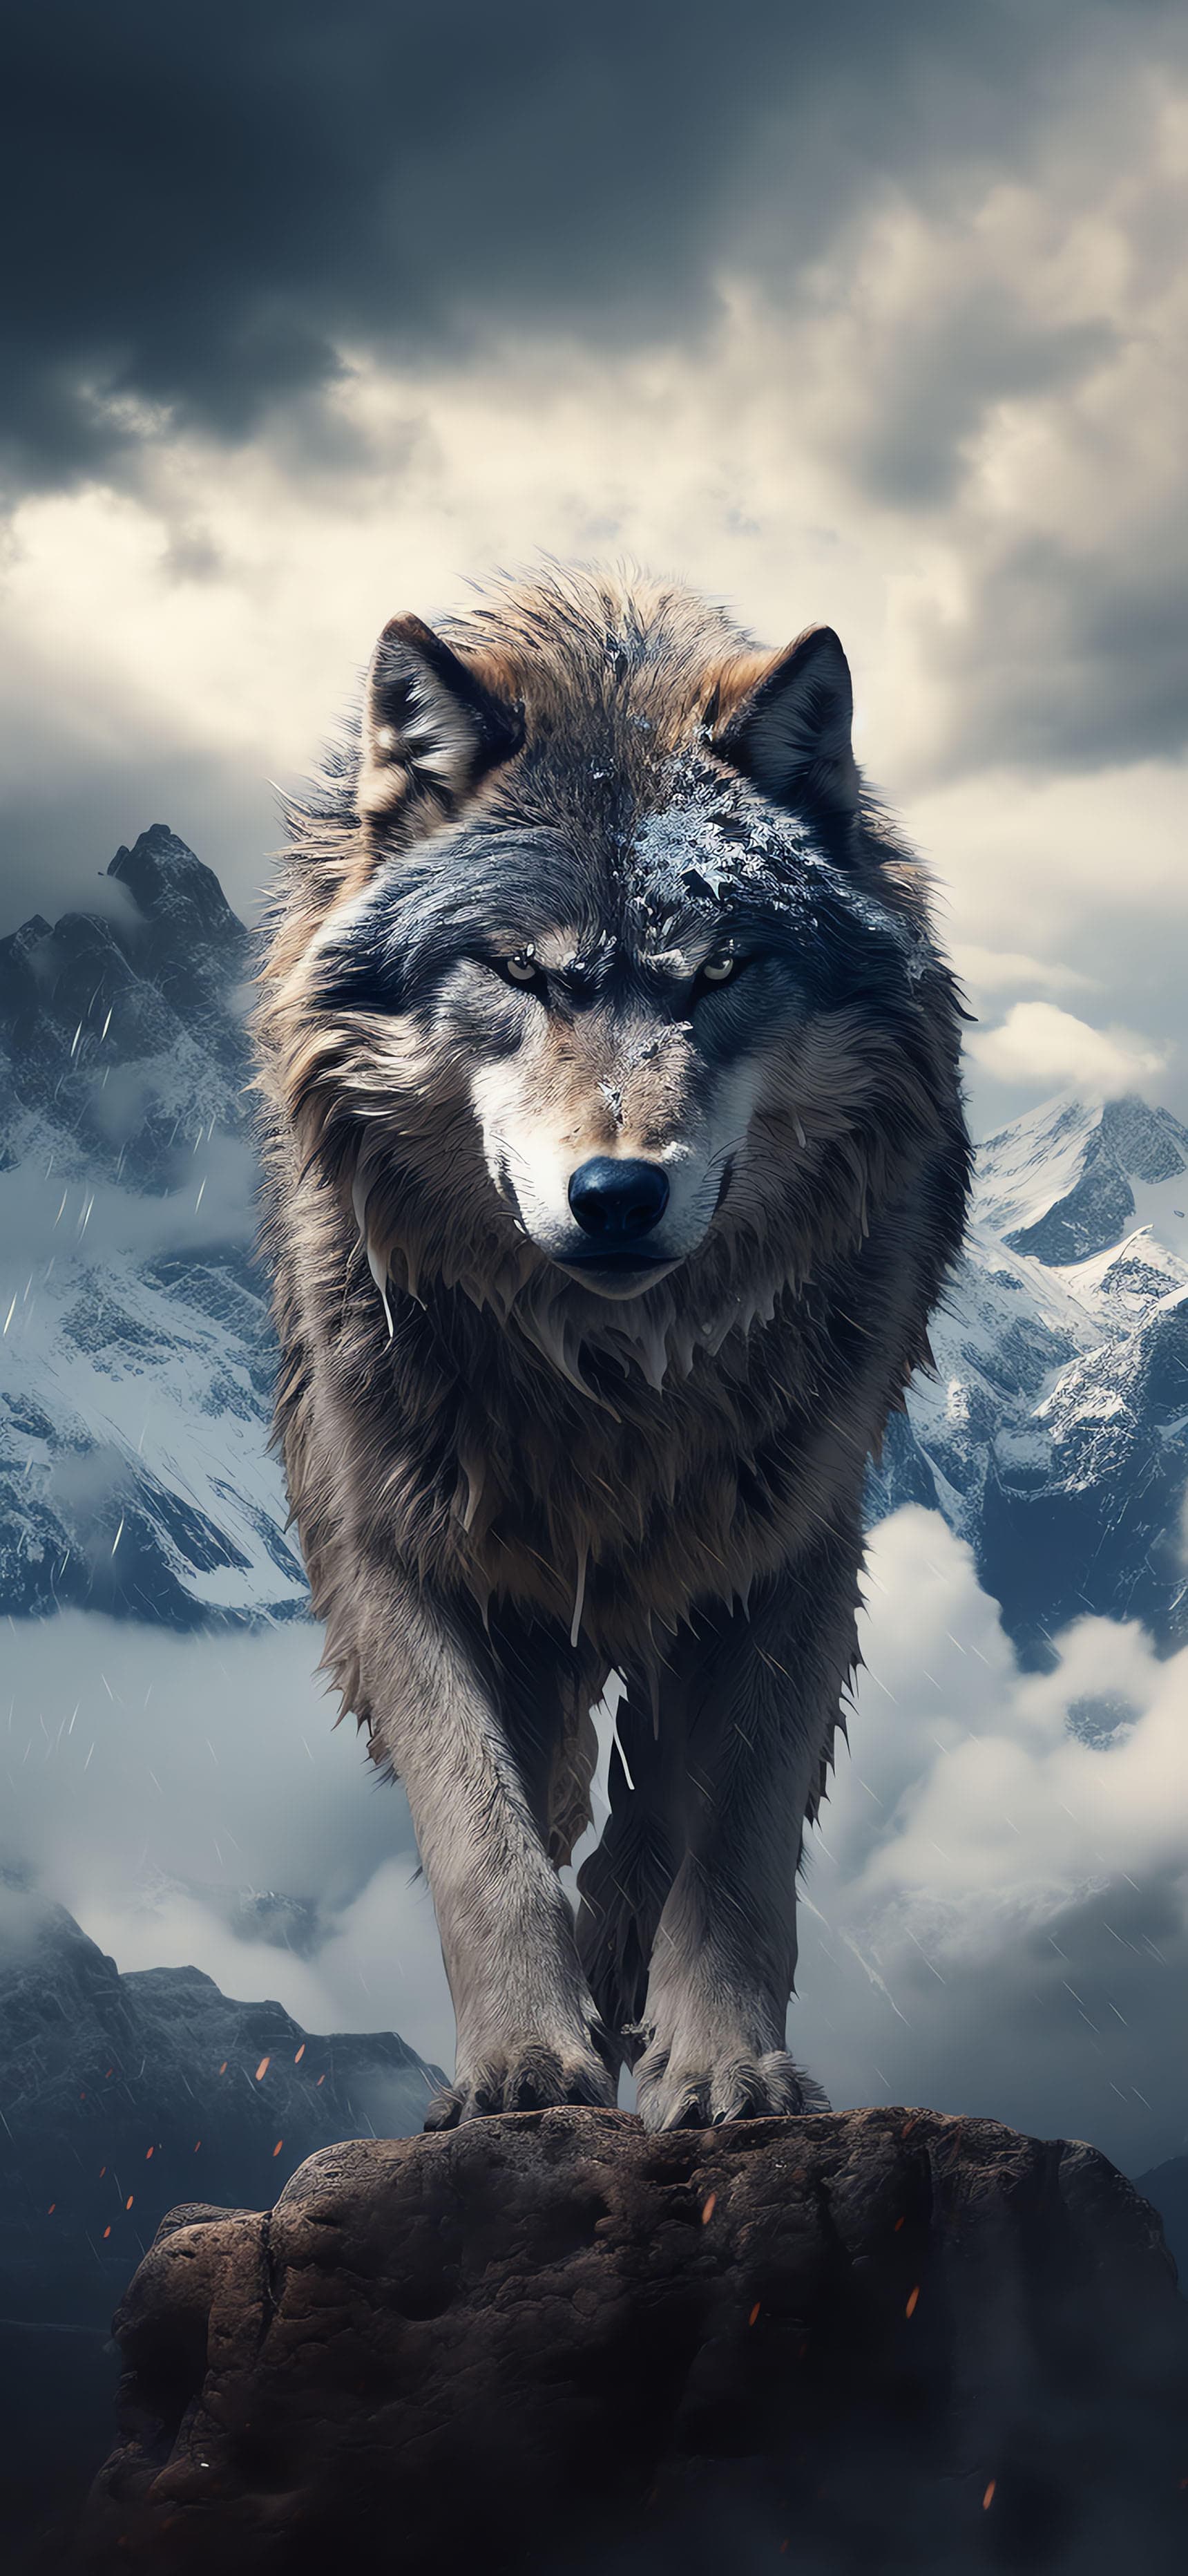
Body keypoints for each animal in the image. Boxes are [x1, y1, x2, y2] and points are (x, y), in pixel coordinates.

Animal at [255, 565, 969, 2132]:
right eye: (522, 975)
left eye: (718, 976)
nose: (617, 1192)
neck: (607, 1377)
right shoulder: (389, 1544)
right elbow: (485, 1837)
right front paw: (525, 2063)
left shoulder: (791, 1548)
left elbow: (733, 1844)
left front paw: (726, 2065)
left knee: (651, 1814)